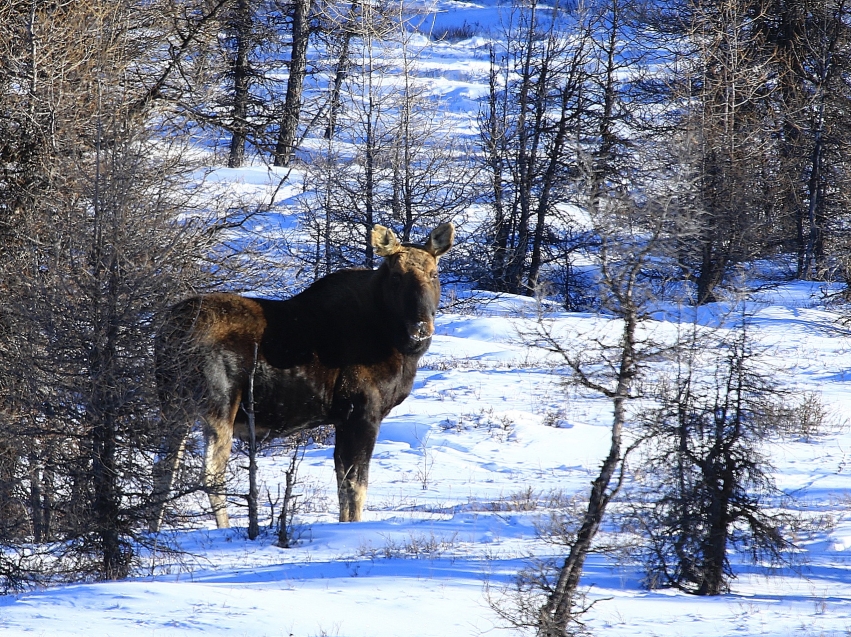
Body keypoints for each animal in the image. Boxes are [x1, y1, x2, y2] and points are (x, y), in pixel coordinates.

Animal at [150, 221, 456, 528]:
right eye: (396, 276)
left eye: (434, 274)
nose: (420, 326)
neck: (397, 346)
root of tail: (170, 333)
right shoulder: (363, 411)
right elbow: (356, 486)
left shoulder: (343, 418)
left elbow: (343, 484)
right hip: (219, 403)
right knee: (211, 473)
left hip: (173, 406)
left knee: (163, 468)